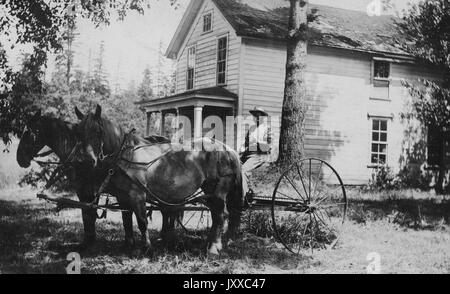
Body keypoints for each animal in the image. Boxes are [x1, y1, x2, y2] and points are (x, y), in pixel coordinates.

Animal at [74, 105, 243, 255]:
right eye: (78, 132)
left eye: (97, 131)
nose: (85, 161)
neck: (127, 155)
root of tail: (227, 149)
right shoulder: (122, 197)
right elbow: (126, 220)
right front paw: (128, 245)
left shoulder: (137, 195)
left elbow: (142, 221)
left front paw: (147, 247)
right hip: (209, 191)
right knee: (218, 215)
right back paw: (212, 243)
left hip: (218, 190)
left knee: (220, 215)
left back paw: (213, 247)